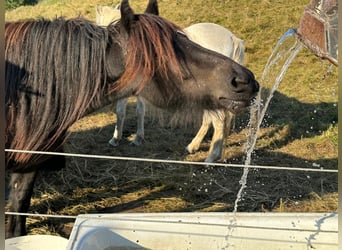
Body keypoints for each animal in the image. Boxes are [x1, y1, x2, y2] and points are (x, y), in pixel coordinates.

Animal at [96, 5, 244, 163]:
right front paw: (138, 138)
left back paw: (211, 157)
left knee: (218, 121)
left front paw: (116, 139)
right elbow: (140, 111)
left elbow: (121, 111)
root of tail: (232, 38)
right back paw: (194, 146)